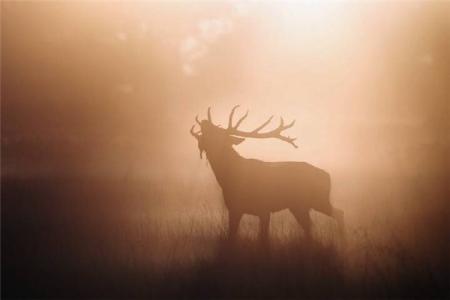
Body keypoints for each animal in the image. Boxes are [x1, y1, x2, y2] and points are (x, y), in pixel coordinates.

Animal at [190, 105, 344, 241]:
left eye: (217, 131)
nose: (204, 121)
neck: (230, 178)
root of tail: (327, 175)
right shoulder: (234, 209)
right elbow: (231, 235)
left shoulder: (264, 208)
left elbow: (263, 239)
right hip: (299, 206)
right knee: (312, 224)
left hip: (317, 200)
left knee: (338, 213)